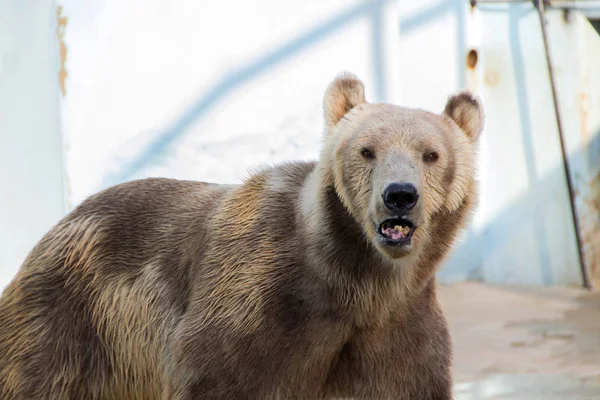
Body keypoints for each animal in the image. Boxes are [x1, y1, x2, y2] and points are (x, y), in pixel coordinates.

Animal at [0, 73, 482, 398]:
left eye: (431, 154)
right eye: (367, 150)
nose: (399, 195)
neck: (354, 280)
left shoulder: (397, 334)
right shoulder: (253, 318)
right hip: (68, 327)